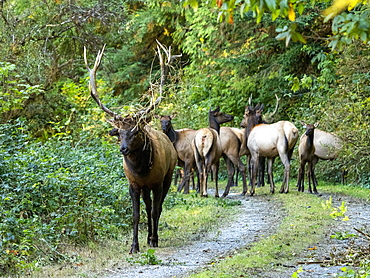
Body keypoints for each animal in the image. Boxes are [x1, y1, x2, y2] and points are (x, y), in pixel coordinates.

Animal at [84, 44, 178, 254]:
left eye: (136, 131)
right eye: (119, 133)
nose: (124, 149)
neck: (141, 170)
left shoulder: (158, 182)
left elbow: (156, 210)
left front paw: (154, 239)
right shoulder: (133, 185)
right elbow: (136, 215)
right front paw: (134, 245)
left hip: (168, 176)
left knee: (157, 208)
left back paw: (153, 237)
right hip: (145, 188)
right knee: (148, 206)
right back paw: (148, 237)